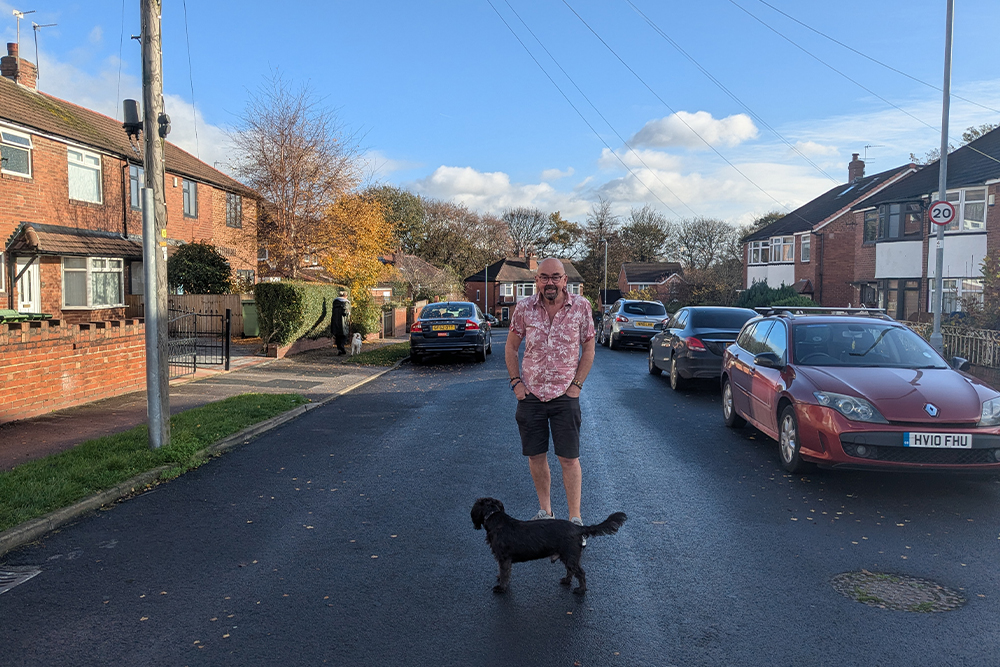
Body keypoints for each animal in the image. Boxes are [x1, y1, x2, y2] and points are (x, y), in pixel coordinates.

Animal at [471, 497, 626, 595]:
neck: (494, 516)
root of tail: (578, 529)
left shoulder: (504, 559)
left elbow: (504, 574)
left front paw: (501, 587)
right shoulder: (502, 559)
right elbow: (502, 572)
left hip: (570, 556)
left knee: (581, 573)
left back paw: (581, 591)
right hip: (568, 556)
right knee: (571, 571)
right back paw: (566, 581)